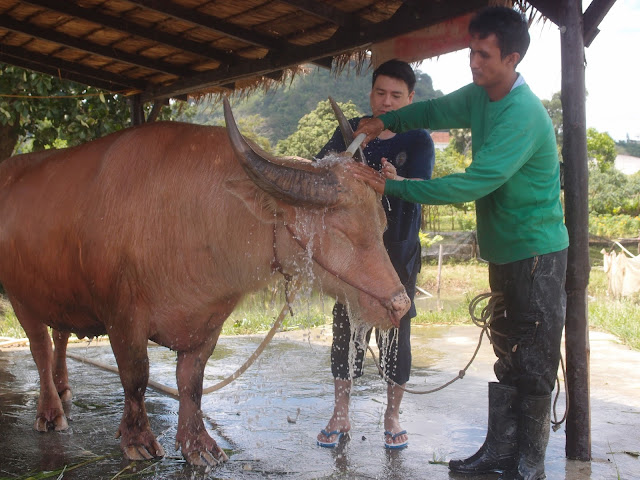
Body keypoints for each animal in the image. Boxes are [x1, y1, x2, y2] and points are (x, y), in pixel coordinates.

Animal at [0, 99, 410, 466]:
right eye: (342, 230)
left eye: (381, 225)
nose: (400, 305)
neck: (189, 217)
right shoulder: (122, 317)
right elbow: (136, 376)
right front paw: (138, 440)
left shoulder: (210, 321)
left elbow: (191, 382)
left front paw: (199, 445)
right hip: (21, 298)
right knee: (40, 348)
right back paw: (50, 412)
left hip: (57, 293)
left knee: (59, 336)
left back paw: (63, 389)